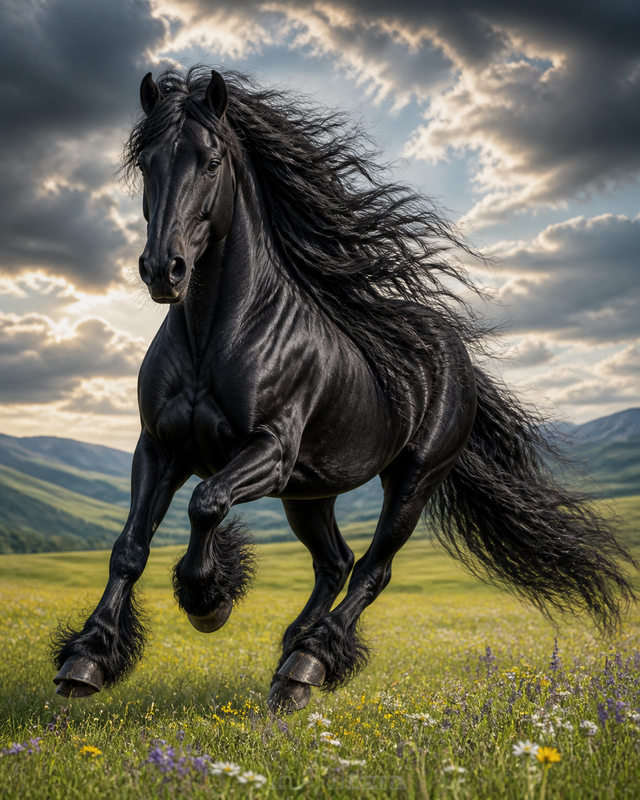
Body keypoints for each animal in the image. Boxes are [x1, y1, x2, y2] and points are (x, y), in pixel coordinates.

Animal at [51, 66, 636, 713]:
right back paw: (292, 657)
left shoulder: (269, 452)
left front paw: (208, 599)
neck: (214, 336)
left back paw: (310, 659)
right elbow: (129, 547)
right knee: (336, 562)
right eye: (146, 163)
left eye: (211, 161)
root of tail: (455, 354)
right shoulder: (159, 447)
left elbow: (206, 504)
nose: (164, 270)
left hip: (411, 479)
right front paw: (88, 657)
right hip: (311, 493)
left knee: (372, 570)